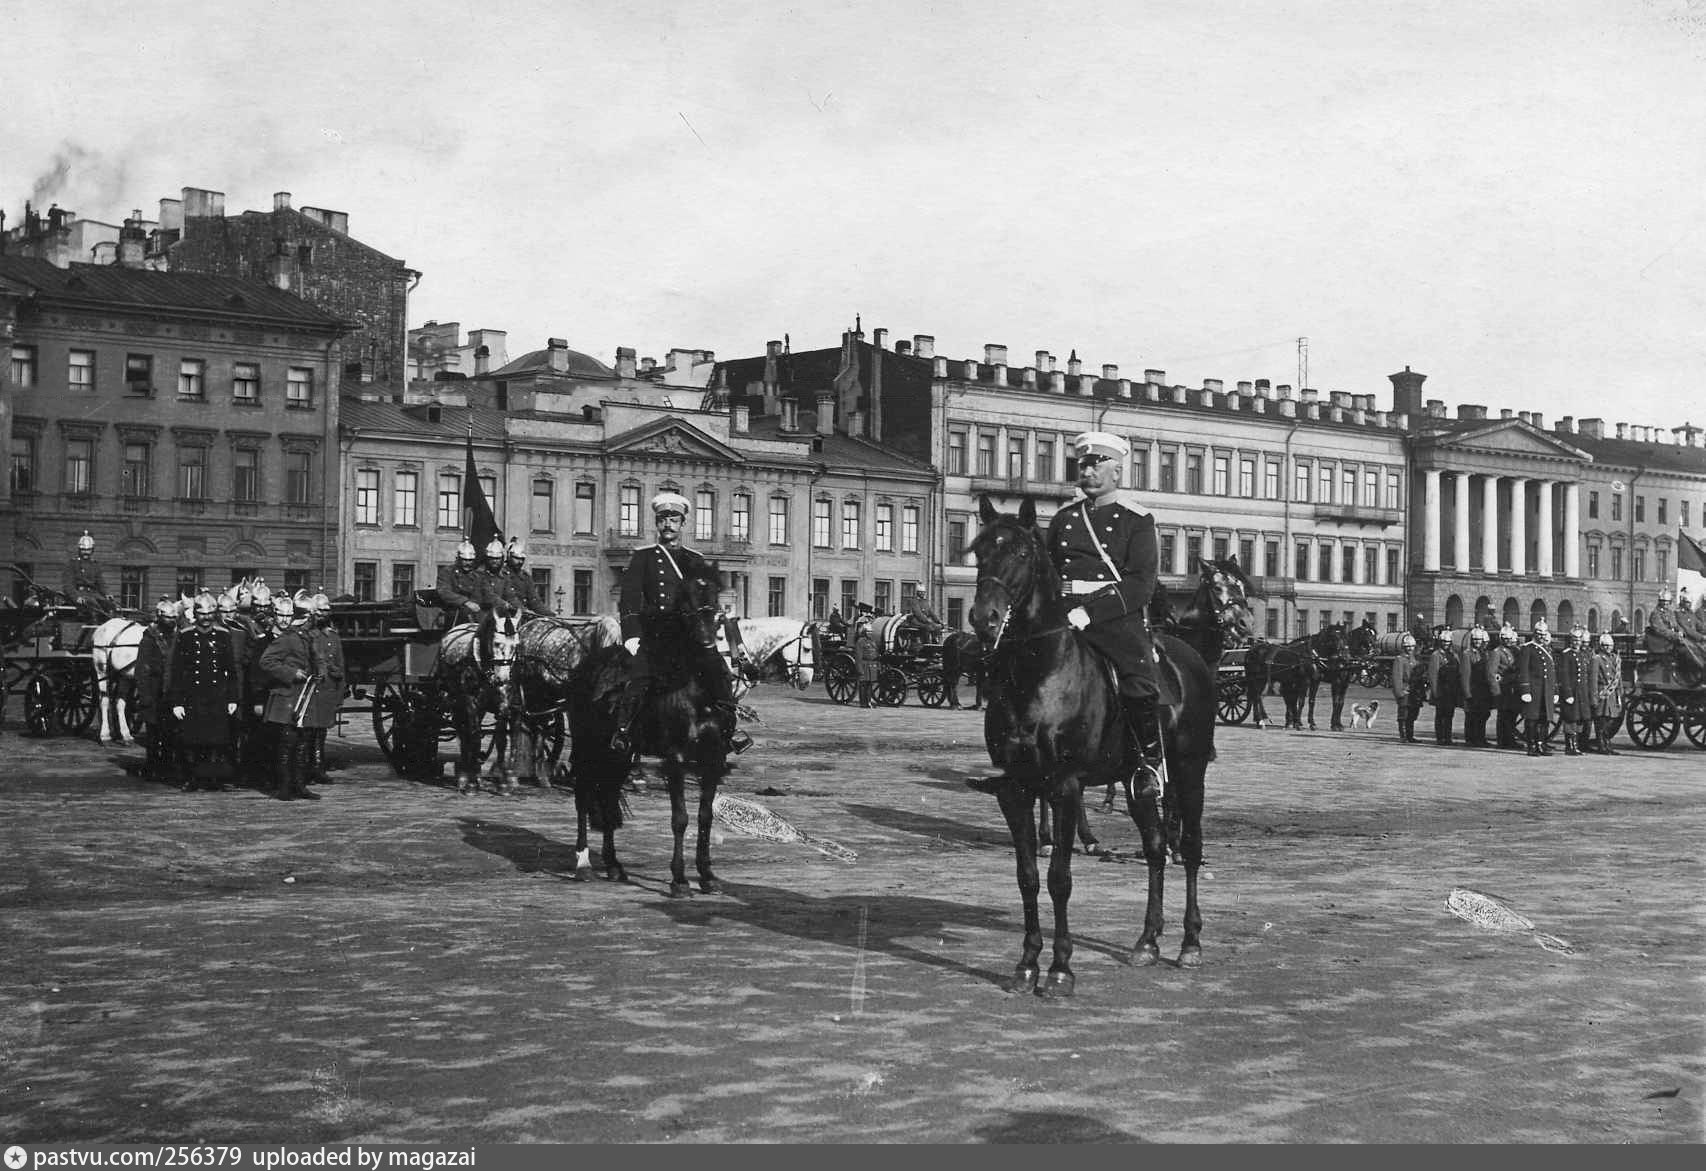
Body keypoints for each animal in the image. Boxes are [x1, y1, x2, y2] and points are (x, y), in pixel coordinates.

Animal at [562, 563, 730, 894]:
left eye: (715, 595)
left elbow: (705, 817)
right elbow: (680, 818)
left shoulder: (713, 759)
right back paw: (583, 863)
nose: (707, 640)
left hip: (619, 756)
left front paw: (706, 875)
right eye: (685, 600)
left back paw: (614, 866)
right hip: (588, 748)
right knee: (583, 796)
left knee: (608, 796)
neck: (696, 686)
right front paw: (679, 880)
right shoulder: (675, 758)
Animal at [969, 498, 1221, 996]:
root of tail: (1190, 658)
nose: (983, 619)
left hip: (1188, 773)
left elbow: (1059, 878)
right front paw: (1027, 963)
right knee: (1155, 848)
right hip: (1137, 783)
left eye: (1022, 553)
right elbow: (1028, 877)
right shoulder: (1015, 789)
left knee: (1189, 847)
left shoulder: (1065, 787)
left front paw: (1060, 969)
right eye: (978, 550)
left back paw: (1190, 943)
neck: (1037, 674)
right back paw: (1148, 941)